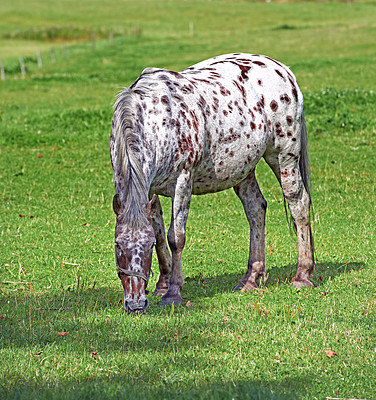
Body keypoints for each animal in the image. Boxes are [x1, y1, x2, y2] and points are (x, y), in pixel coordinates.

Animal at [111, 53, 314, 314]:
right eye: (118, 245)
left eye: (146, 247)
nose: (136, 304)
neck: (157, 121)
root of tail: (283, 70)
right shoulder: (150, 190)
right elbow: (160, 233)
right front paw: (162, 285)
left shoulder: (182, 182)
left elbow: (175, 237)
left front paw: (173, 292)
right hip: (243, 169)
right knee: (256, 209)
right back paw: (250, 279)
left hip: (283, 157)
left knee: (299, 205)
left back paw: (303, 275)